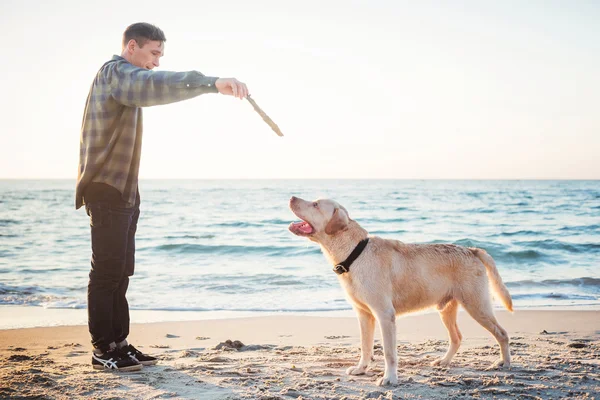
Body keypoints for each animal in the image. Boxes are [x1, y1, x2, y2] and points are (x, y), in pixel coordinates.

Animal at [288, 196, 510, 384]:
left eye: (315, 204)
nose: (291, 197)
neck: (355, 252)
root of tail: (472, 250)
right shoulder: (363, 315)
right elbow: (365, 346)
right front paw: (361, 368)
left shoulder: (385, 315)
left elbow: (389, 352)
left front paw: (389, 378)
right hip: (447, 309)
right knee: (457, 338)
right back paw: (444, 361)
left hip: (477, 306)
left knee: (502, 334)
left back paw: (504, 363)